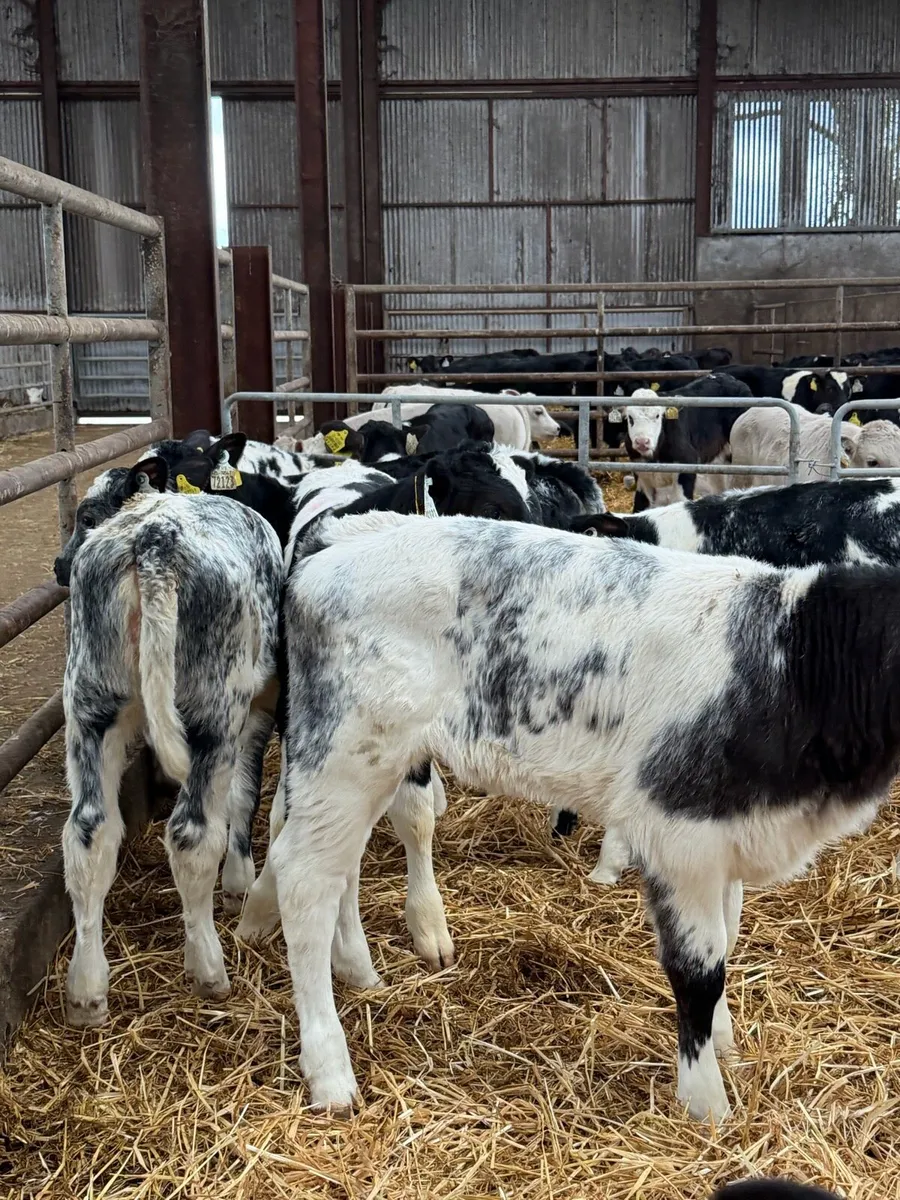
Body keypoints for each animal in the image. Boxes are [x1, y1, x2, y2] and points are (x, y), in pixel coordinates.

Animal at [238, 510, 900, 1122]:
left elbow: (729, 940)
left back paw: (356, 969)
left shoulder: (728, 833)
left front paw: (727, 1044)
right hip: (348, 751)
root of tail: (347, 535)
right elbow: (699, 970)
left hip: (368, 764)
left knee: (337, 867)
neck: (791, 661)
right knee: (305, 878)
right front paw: (706, 1104)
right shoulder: (681, 835)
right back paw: (329, 1070)